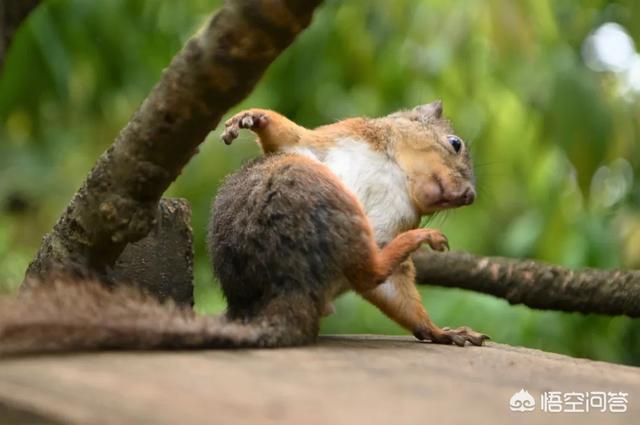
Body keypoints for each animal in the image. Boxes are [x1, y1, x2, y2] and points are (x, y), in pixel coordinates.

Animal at [0, 100, 484, 354]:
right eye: (456, 143)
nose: (470, 196)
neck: (397, 173)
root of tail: (287, 287)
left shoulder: (390, 225)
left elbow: (392, 288)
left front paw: (439, 331)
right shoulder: (328, 142)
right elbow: (293, 135)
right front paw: (252, 118)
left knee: (372, 271)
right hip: (310, 177)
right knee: (368, 269)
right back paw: (422, 237)